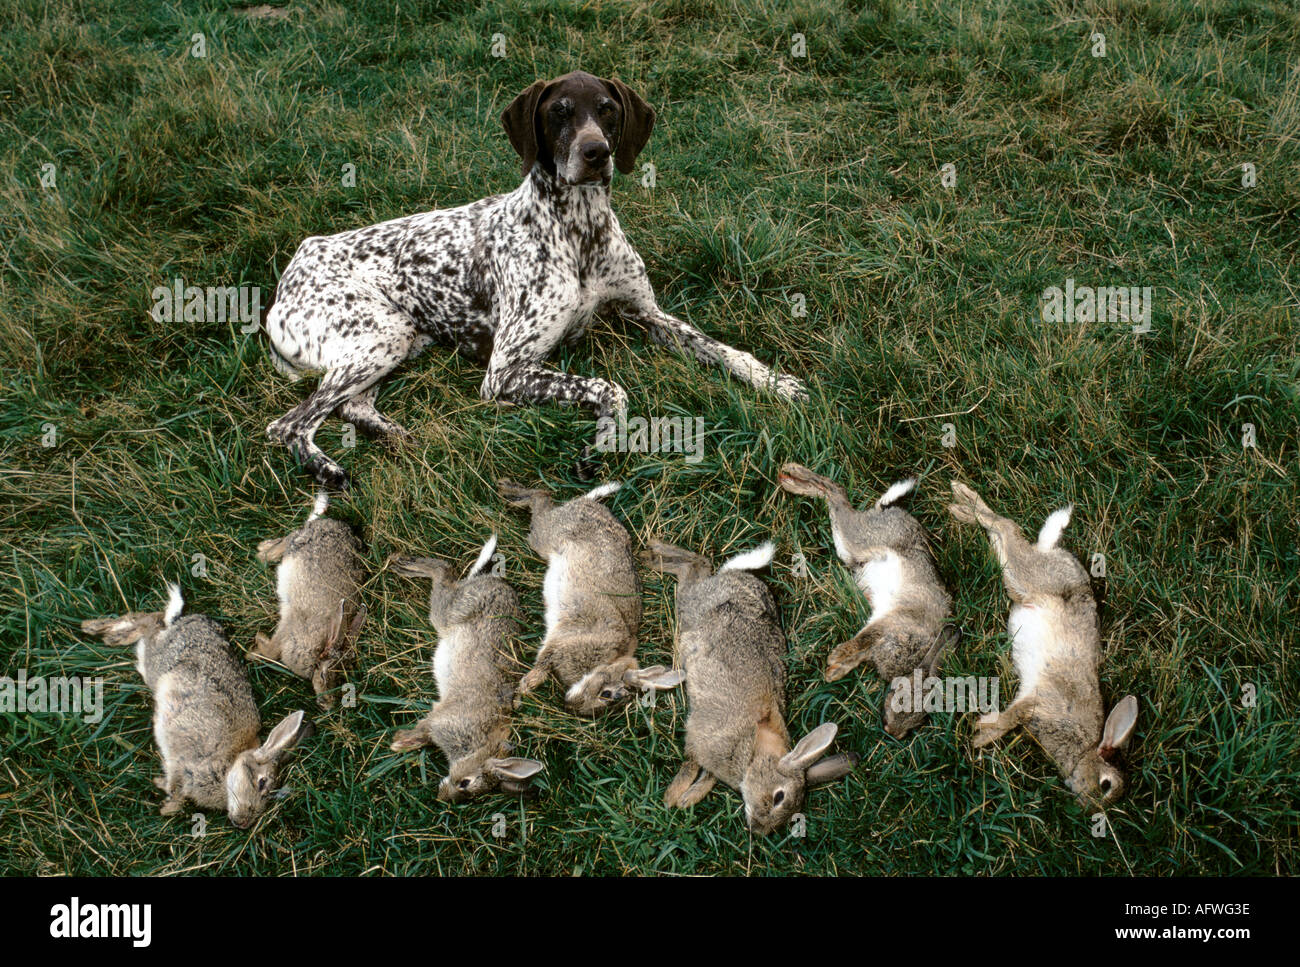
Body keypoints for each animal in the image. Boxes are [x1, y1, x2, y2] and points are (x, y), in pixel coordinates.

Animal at [262, 70, 806, 486]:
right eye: (558, 112)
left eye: (608, 109)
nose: (596, 153)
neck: (580, 229)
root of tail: (291, 270)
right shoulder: (506, 369)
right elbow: (610, 388)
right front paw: (601, 444)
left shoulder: (646, 314)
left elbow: (724, 351)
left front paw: (777, 383)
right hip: (382, 336)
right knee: (288, 424)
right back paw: (328, 469)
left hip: (396, 342)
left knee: (351, 408)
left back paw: (397, 436)